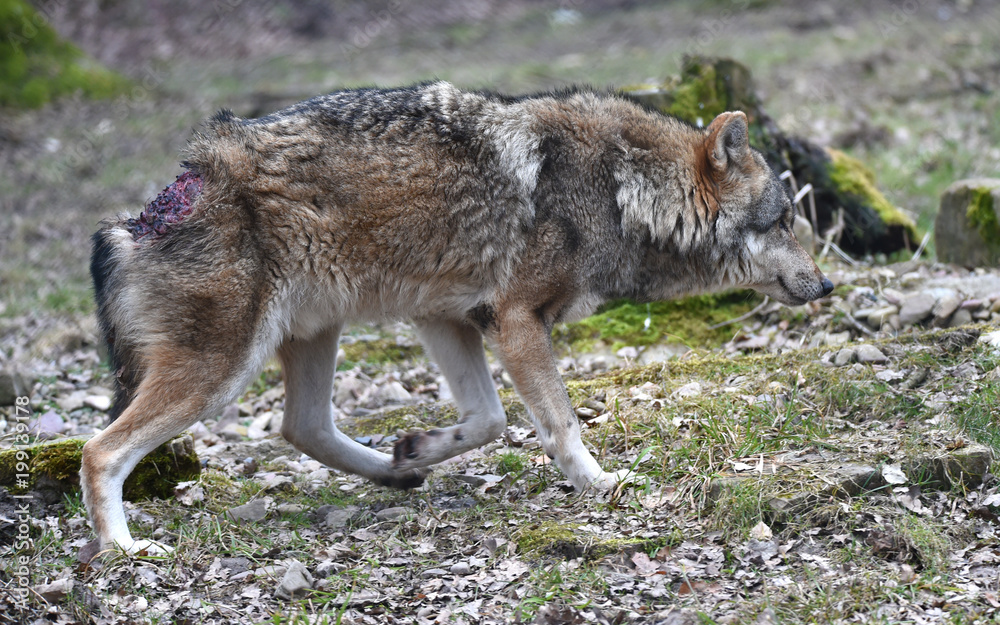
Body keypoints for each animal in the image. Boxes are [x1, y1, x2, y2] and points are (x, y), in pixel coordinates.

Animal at [85, 81, 832, 555]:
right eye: (784, 221)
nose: (826, 283)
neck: (623, 188)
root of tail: (140, 214)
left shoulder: (446, 317)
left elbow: (491, 420)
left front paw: (422, 448)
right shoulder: (517, 322)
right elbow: (560, 422)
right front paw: (598, 483)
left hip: (312, 335)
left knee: (301, 427)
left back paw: (397, 471)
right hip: (222, 372)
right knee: (102, 450)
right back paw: (125, 549)